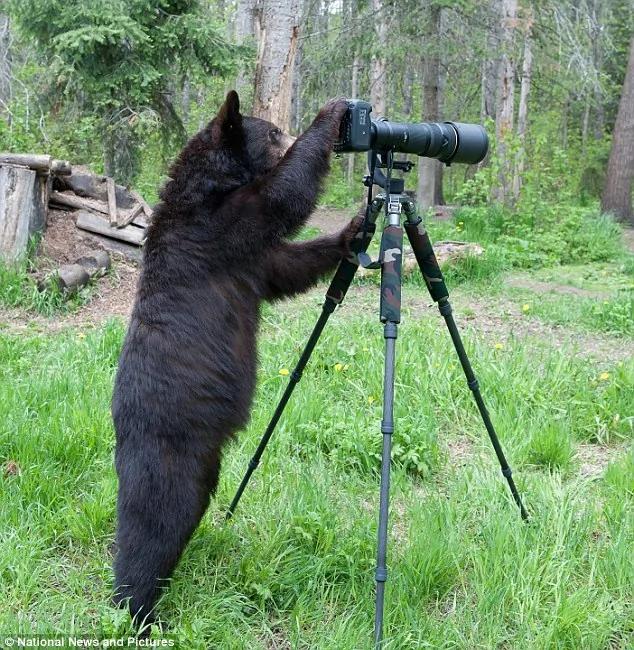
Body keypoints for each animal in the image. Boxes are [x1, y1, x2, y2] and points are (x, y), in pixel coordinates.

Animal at [111, 91, 358, 624]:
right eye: (274, 132)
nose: (288, 128)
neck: (209, 186)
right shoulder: (220, 229)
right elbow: (280, 198)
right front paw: (330, 115)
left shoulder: (251, 256)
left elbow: (286, 266)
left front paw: (352, 232)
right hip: (171, 452)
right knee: (152, 524)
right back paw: (137, 608)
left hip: (204, 460)